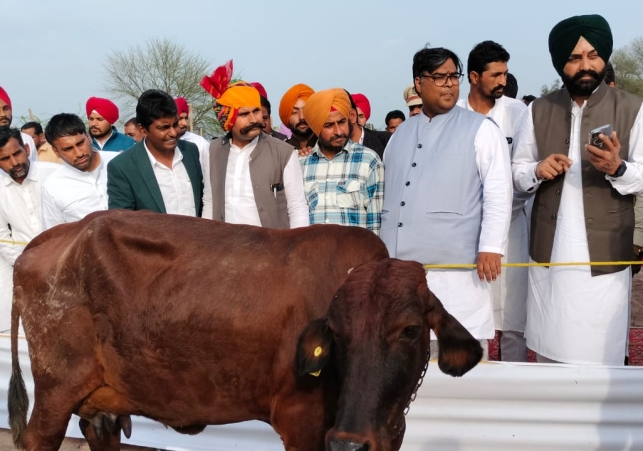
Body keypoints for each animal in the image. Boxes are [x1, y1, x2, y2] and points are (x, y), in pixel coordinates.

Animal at [8, 209, 482, 451]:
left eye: (411, 330)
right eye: (336, 334)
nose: (351, 443)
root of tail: (58, 234)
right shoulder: (302, 421)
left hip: (100, 400)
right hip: (56, 390)